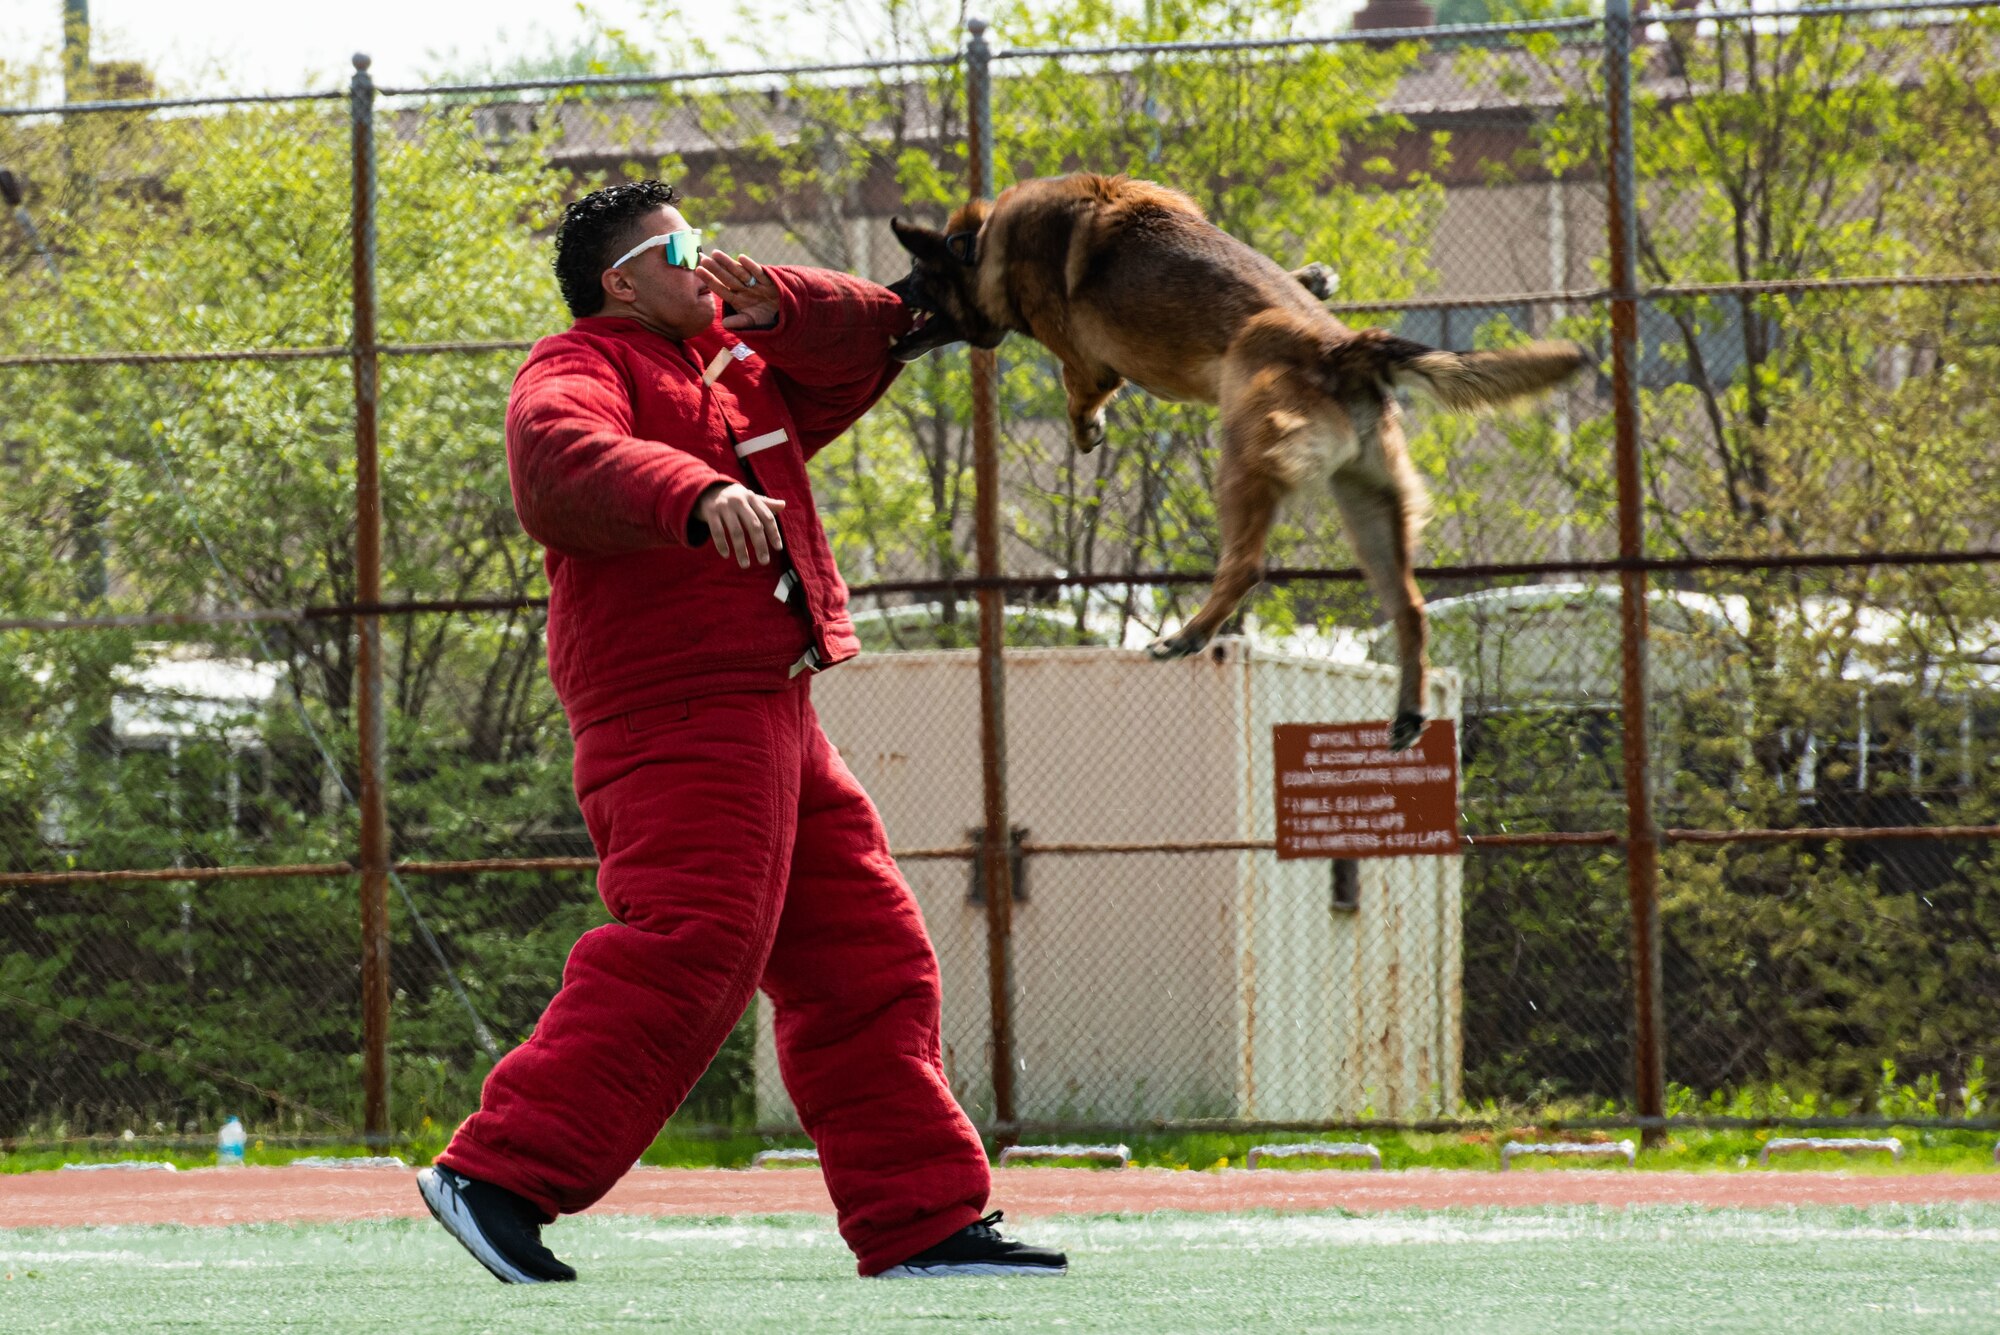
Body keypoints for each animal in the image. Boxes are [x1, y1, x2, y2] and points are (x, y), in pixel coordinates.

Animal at [884, 171, 1584, 751]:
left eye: (915, 276)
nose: (887, 294)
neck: (983, 245)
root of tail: (1342, 348)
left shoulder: (1084, 363)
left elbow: (1077, 391)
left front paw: (1087, 430)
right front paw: (1313, 277)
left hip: (1243, 460)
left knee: (1246, 565)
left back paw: (1189, 635)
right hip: (1370, 508)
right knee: (1409, 607)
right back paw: (1409, 711)